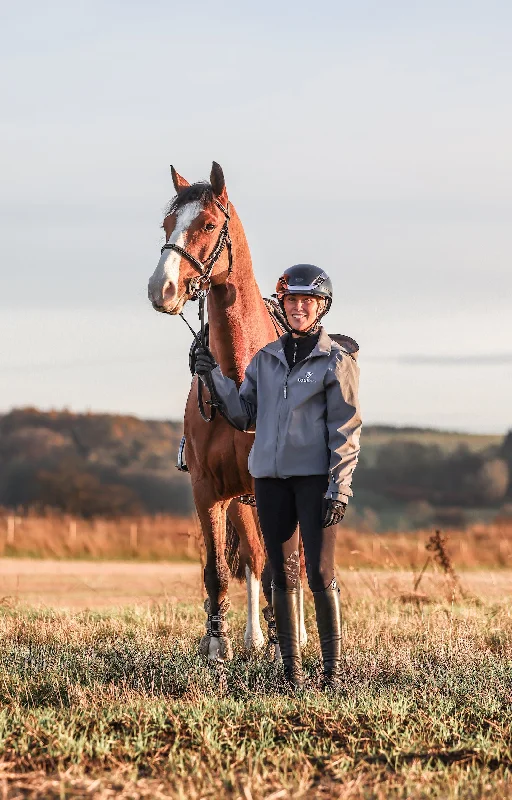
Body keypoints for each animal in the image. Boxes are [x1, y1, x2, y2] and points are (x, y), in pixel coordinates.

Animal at [146, 159, 306, 660]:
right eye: (167, 224)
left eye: (209, 224)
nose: (162, 289)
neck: (238, 380)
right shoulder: (208, 490)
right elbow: (218, 569)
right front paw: (218, 644)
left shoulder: (270, 489)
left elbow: (281, 570)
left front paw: (285, 646)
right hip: (239, 501)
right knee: (254, 556)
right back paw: (256, 636)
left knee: (296, 563)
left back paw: (296, 634)